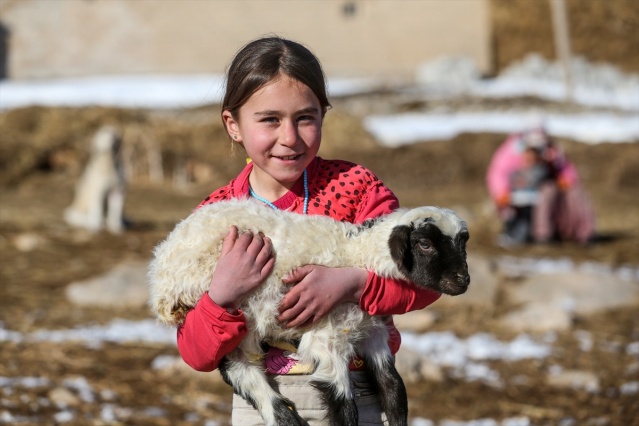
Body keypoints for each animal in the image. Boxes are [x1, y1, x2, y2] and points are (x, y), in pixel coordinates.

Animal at [149, 198, 470, 424]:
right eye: (424, 243)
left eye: (462, 243)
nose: (463, 281)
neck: (356, 253)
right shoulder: (328, 338)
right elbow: (345, 406)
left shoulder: (373, 333)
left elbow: (392, 387)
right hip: (223, 304)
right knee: (239, 368)